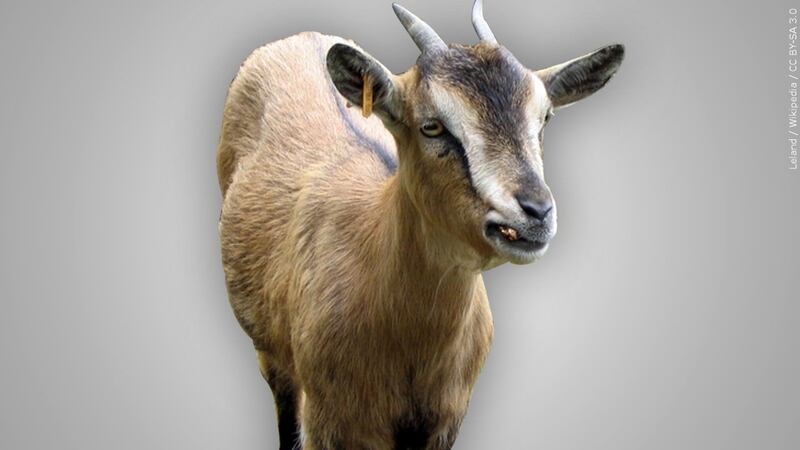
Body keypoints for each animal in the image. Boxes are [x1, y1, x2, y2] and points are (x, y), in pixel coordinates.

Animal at [217, 1, 624, 449]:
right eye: (432, 126)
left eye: (544, 118)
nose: (535, 212)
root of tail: (300, 36)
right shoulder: (331, 421)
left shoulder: (445, 420)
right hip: (273, 359)